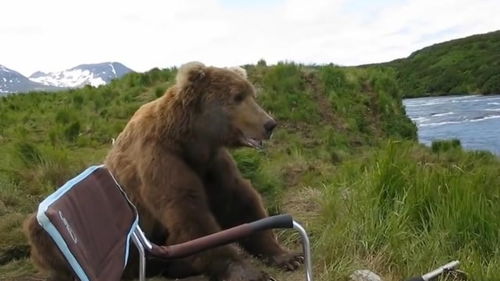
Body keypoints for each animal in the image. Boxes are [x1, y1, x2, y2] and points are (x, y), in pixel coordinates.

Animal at [24, 62, 300, 278]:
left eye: (252, 94)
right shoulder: (161, 159)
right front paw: (246, 271)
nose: (269, 124)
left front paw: (286, 256)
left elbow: (239, 202)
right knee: (39, 233)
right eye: (237, 97)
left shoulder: (211, 164)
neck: (191, 140)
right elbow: (190, 215)